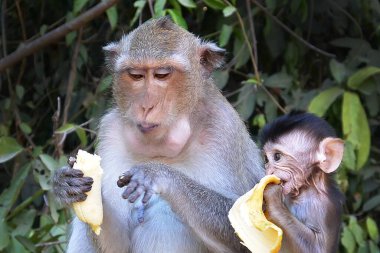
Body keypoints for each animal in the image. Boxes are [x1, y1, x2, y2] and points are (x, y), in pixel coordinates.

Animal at [52, 16, 264, 252]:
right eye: (136, 75)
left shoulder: (223, 130)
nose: (146, 106)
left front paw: (157, 174)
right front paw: (65, 183)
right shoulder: (110, 131)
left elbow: (248, 230)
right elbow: (116, 244)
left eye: (162, 75)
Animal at [262, 112, 344, 253]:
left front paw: (272, 196)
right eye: (266, 160)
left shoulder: (322, 207)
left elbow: (317, 249)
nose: (269, 171)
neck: (305, 190)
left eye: (277, 156)